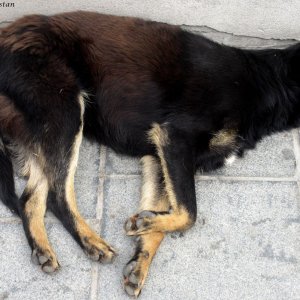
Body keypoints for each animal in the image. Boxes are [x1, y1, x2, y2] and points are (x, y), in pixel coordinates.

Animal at [0, 9, 300, 298]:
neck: (268, 82)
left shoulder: (160, 157)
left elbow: (167, 215)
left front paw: (141, 257)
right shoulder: (175, 137)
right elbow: (189, 213)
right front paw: (145, 224)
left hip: (44, 128)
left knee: (30, 198)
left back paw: (42, 250)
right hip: (66, 111)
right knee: (58, 195)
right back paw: (91, 243)